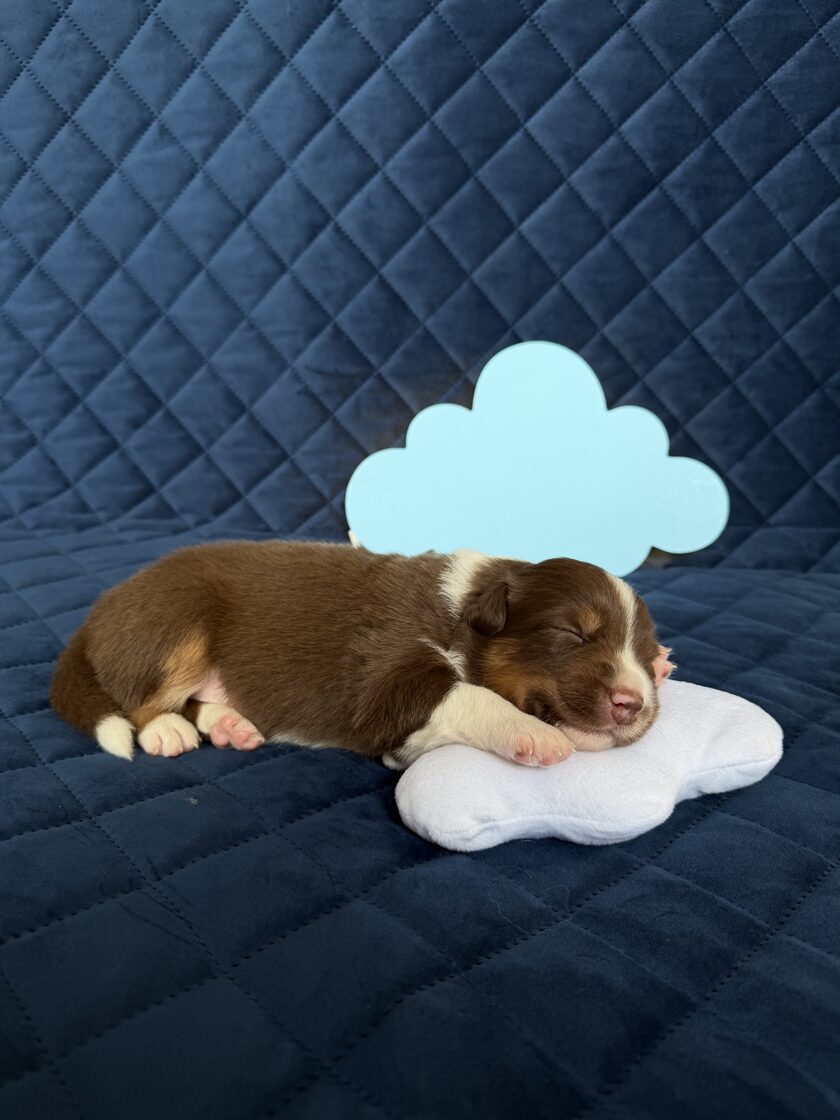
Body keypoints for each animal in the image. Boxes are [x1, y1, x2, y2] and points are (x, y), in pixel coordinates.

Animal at [50, 542, 674, 768]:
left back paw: (230, 723)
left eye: (640, 650)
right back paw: (166, 732)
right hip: (179, 621)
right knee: (142, 699)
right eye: (572, 633)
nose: (633, 704)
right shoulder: (384, 680)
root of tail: (99, 611)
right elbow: (464, 693)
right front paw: (534, 735)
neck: (462, 612)